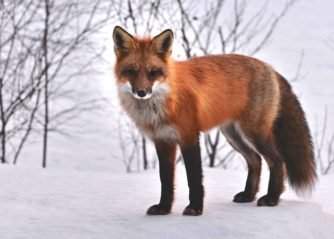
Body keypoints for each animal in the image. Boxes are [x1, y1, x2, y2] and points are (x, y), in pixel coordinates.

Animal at [112, 26, 316, 217]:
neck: (163, 102)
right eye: (131, 71)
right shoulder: (163, 141)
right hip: (233, 135)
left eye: (153, 72)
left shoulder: (189, 136)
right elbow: (166, 180)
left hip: (254, 133)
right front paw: (164, 208)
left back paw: (272, 198)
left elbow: (194, 178)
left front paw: (195, 208)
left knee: (278, 161)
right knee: (255, 160)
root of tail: (269, 67)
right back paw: (248, 195)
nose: (141, 92)